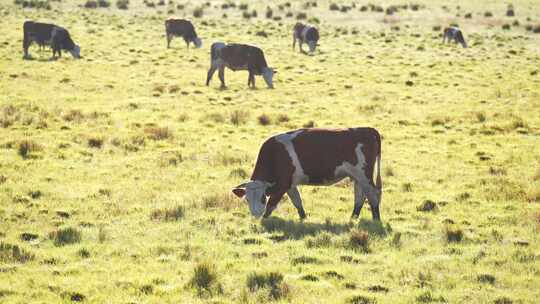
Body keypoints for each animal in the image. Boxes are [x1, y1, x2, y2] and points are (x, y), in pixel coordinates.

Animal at [231, 128, 380, 221]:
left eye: (262, 198)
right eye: (247, 199)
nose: (255, 215)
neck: (275, 155)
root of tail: (367, 129)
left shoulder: (282, 185)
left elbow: (271, 205)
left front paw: (264, 219)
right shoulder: (290, 184)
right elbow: (297, 201)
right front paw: (303, 218)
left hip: (364, 176)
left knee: (373, 195)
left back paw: (376, 219)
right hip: (357, 177)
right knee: (360, 197)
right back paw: (353, 218)